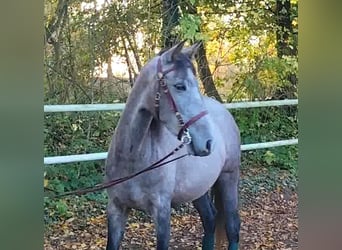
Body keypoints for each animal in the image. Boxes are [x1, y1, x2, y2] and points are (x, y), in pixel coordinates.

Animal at [105, 42, 240, 249]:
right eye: (179, 86)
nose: (208, 142)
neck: (132, 158)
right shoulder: (116, 209)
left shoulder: (162, 213)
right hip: (198, 188)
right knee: (209, 219)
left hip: (229, 178)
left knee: (232, 228)